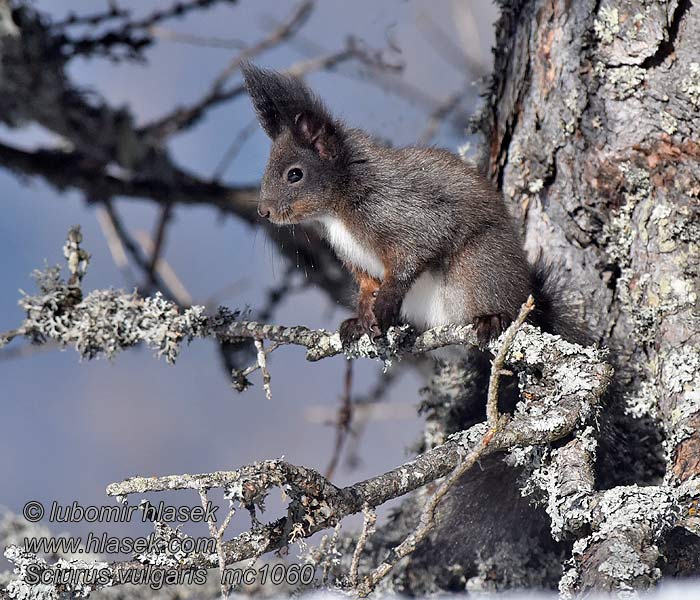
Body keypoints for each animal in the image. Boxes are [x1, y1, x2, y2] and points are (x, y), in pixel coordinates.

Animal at [241, 62, 576, 344]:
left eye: (295, 174)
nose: (263, 211)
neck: (336, 210)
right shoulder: (357, 259)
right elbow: (366, 285)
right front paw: (362, 316)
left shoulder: (403, 214)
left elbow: (412, 257)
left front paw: (384, 304)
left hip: (481, 265)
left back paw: (493, 318)